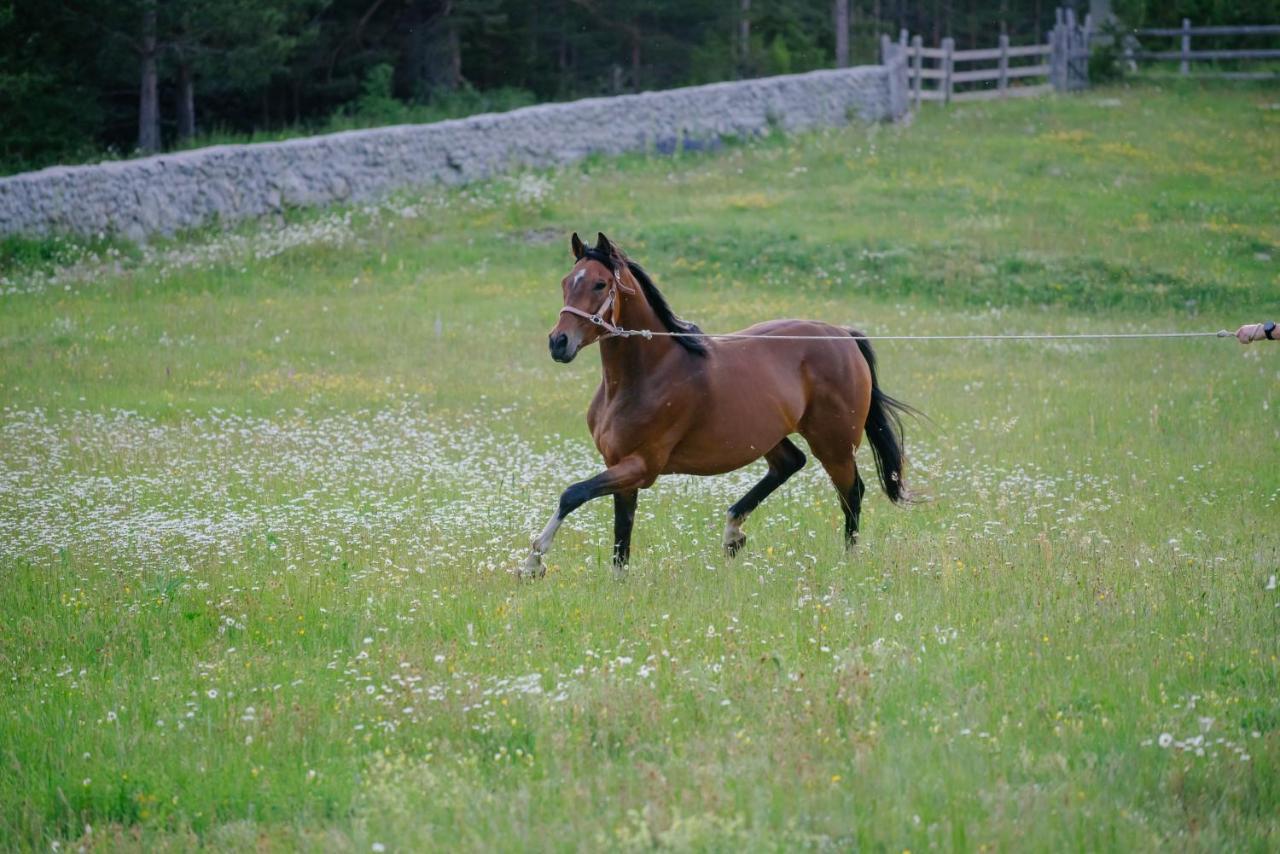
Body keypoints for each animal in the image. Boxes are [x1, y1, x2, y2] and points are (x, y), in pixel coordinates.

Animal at [524, 231, 916, 581]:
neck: (647, 374)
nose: (558, 342)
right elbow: (622, 533)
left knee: (851, 492)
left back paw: (848, 560)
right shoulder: (618, 466)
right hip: (768, 434)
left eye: (600, 284)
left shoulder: (642, 466)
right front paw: (617, 582)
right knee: (790, 463)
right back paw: (732, 534)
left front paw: (533, 563)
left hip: (833, 443)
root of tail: (843, 335)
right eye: (566, 282)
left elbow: (572, 494)